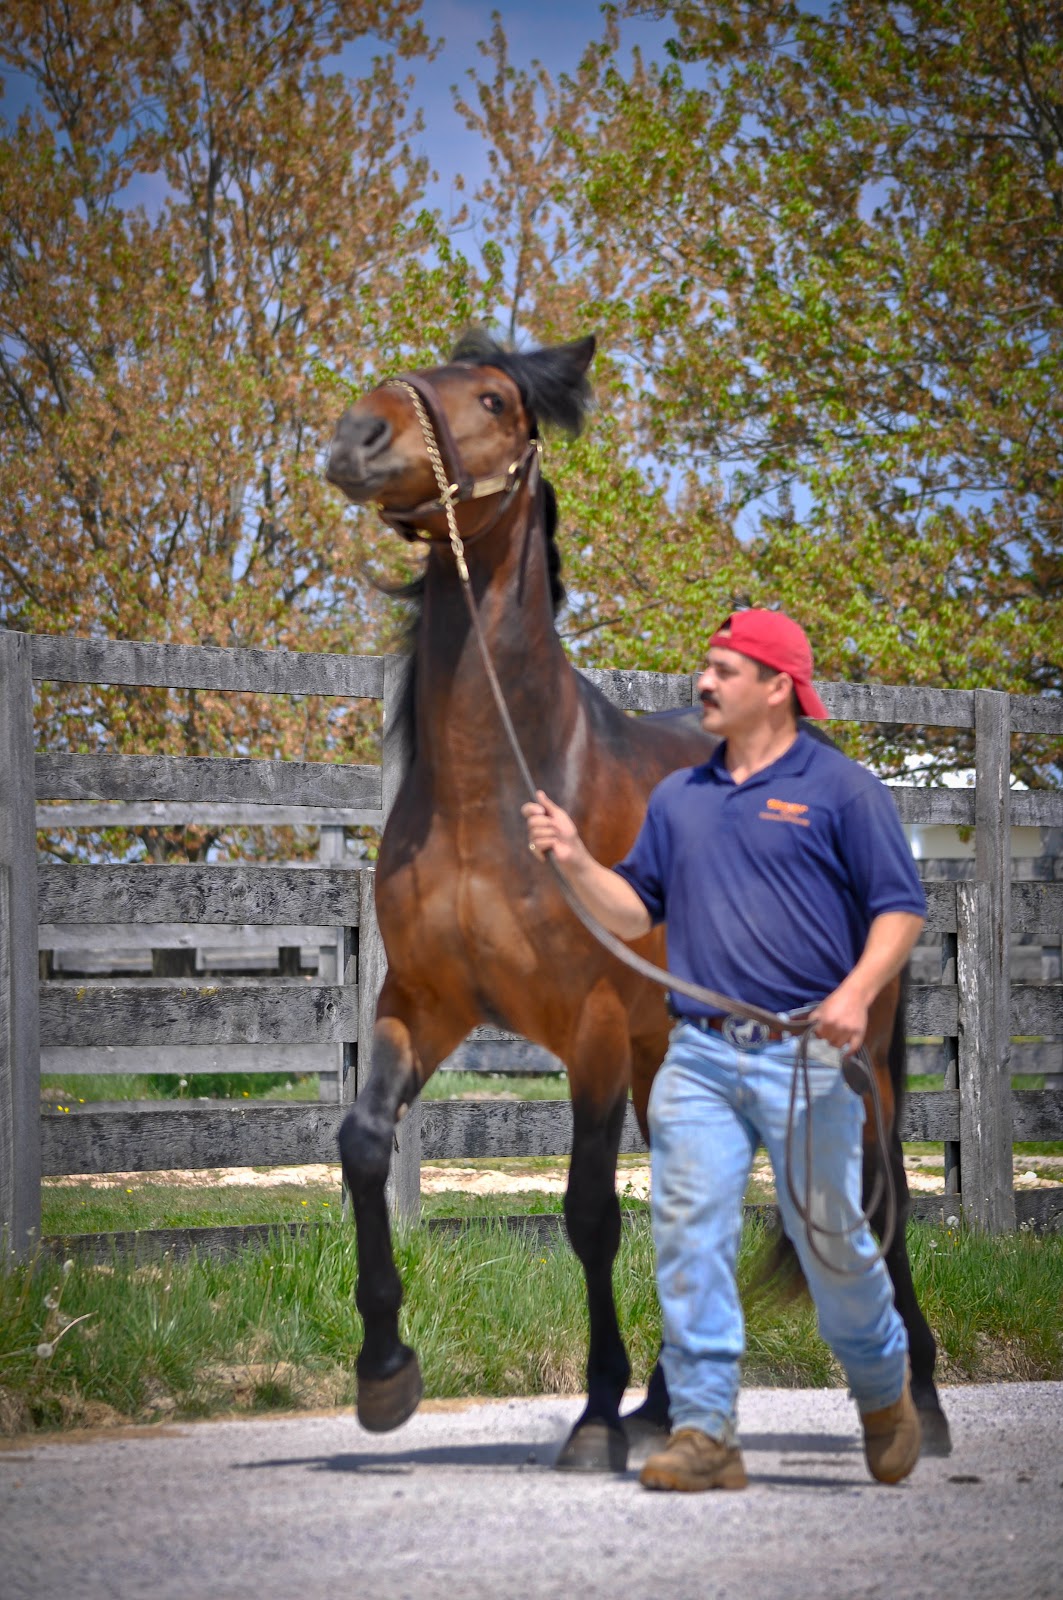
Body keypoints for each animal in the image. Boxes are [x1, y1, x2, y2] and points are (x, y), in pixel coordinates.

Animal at [324, 329, 951, 1469]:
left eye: (494, 398)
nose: (359, 436)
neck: (503, 783)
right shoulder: (422, 1005)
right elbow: (361, 1144)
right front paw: (385, 1372)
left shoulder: (596, 1032)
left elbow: (588, 1215)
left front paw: (590, 1415)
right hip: (685, 1055)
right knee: (707, 1201)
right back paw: (668, 1406)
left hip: (849, 1055)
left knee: (876, 1193)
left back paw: (919, 1404)